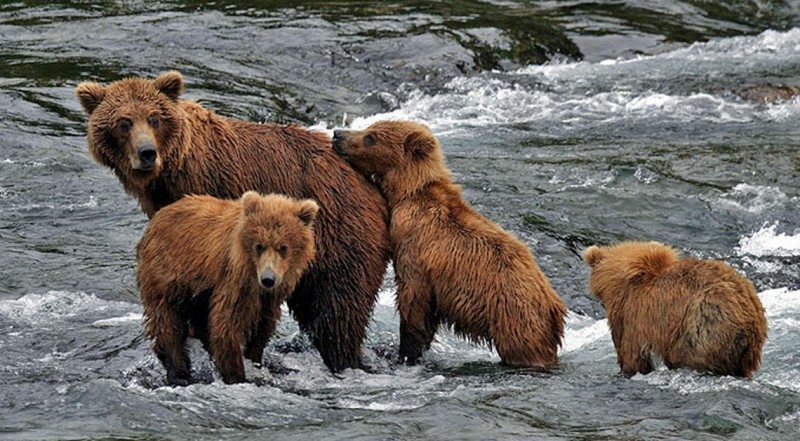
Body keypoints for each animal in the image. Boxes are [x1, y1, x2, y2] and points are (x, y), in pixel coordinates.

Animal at [136, 191, 318, 384]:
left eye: (283, 247)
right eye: (259, 246)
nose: (268, 279)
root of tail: (156, 219)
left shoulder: (270, 297)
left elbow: (263, 326)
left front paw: (254, 358)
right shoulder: (234, 281)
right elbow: (226, 326)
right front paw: (237, 375)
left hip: (198, 291)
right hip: (166, 275)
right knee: (167, 322)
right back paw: (178, 371)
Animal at [332, 120, 568, 368]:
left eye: (371, 137)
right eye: (369, 127)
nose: (338, 134)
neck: (406, 192)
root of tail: (555, 307)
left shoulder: (414, 244)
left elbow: (413, 301)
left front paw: (405, 353)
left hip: (515, 318)